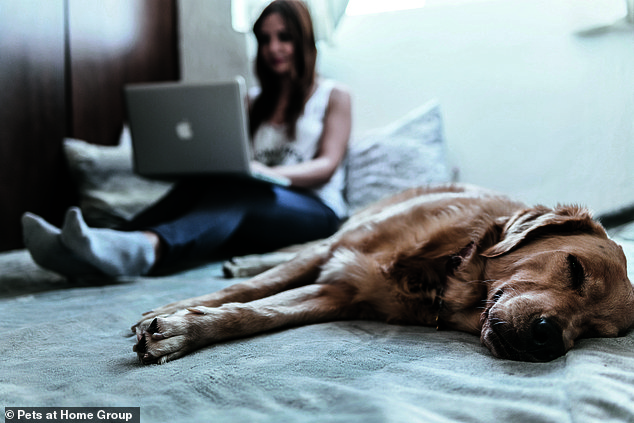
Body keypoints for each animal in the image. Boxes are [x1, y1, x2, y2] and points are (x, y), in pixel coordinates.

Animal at [132, 185, 632, 364]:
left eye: (595, 332)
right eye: (574, 268)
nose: (550, 338)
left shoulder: (336, 293)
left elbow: (256, 313)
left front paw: (181, 330)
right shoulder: (336, 253)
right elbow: (254, 288)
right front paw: (174, 311)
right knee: (292, 251)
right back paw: (245, 259)